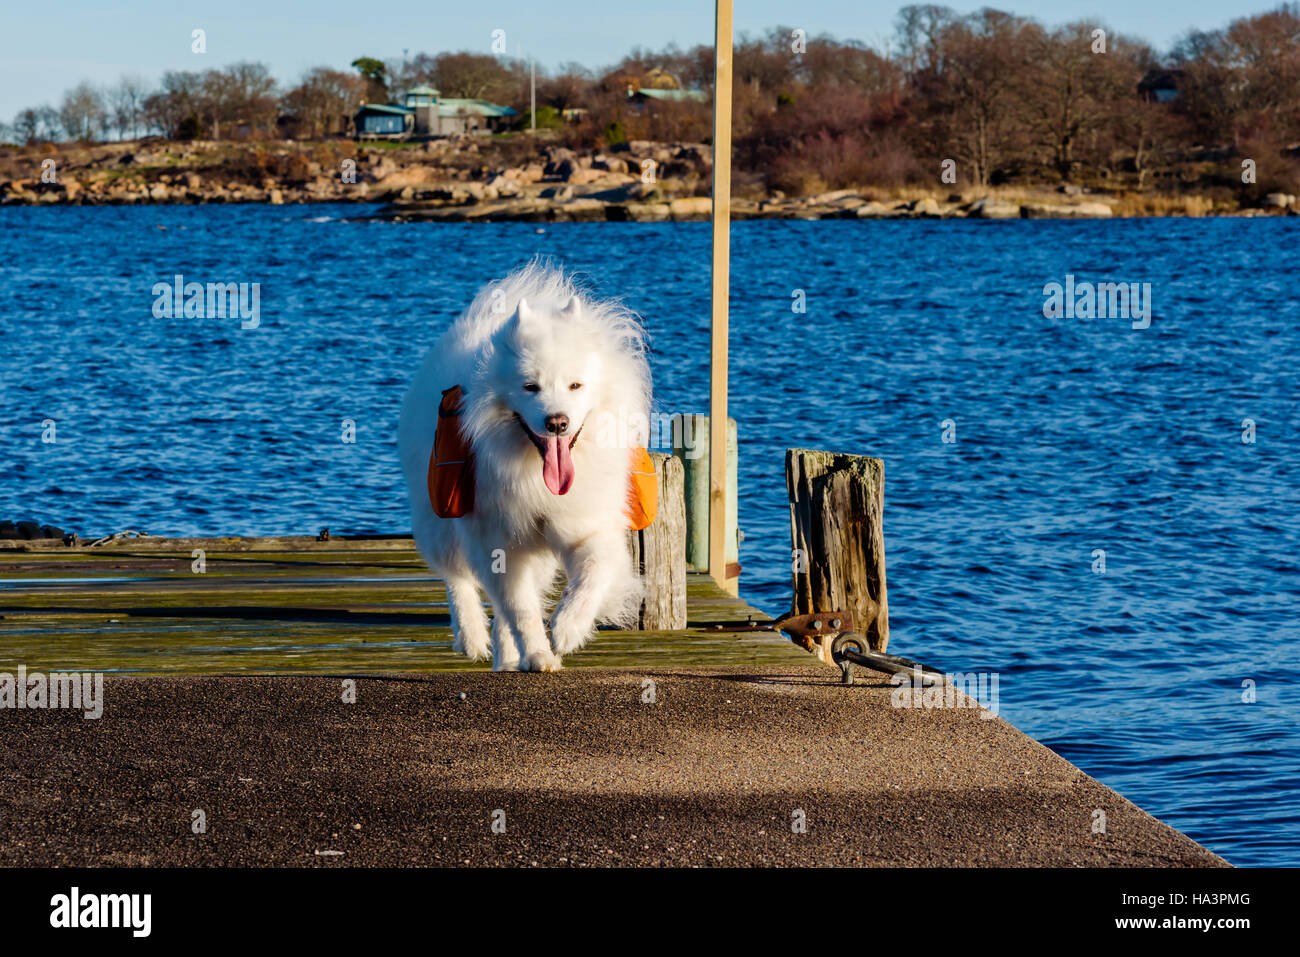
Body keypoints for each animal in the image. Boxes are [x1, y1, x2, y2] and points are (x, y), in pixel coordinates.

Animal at [397, 257, 650, 670]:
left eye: (576, 386)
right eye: (530, 387)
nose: (557, 422)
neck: (534, 474)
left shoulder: (583, 525)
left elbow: (592, 575)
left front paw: (567, 629)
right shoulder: (496, 541)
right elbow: (519, 609)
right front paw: (538, 654)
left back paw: (506, 657)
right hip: (440, 522)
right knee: (457, 579)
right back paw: (473, 638)